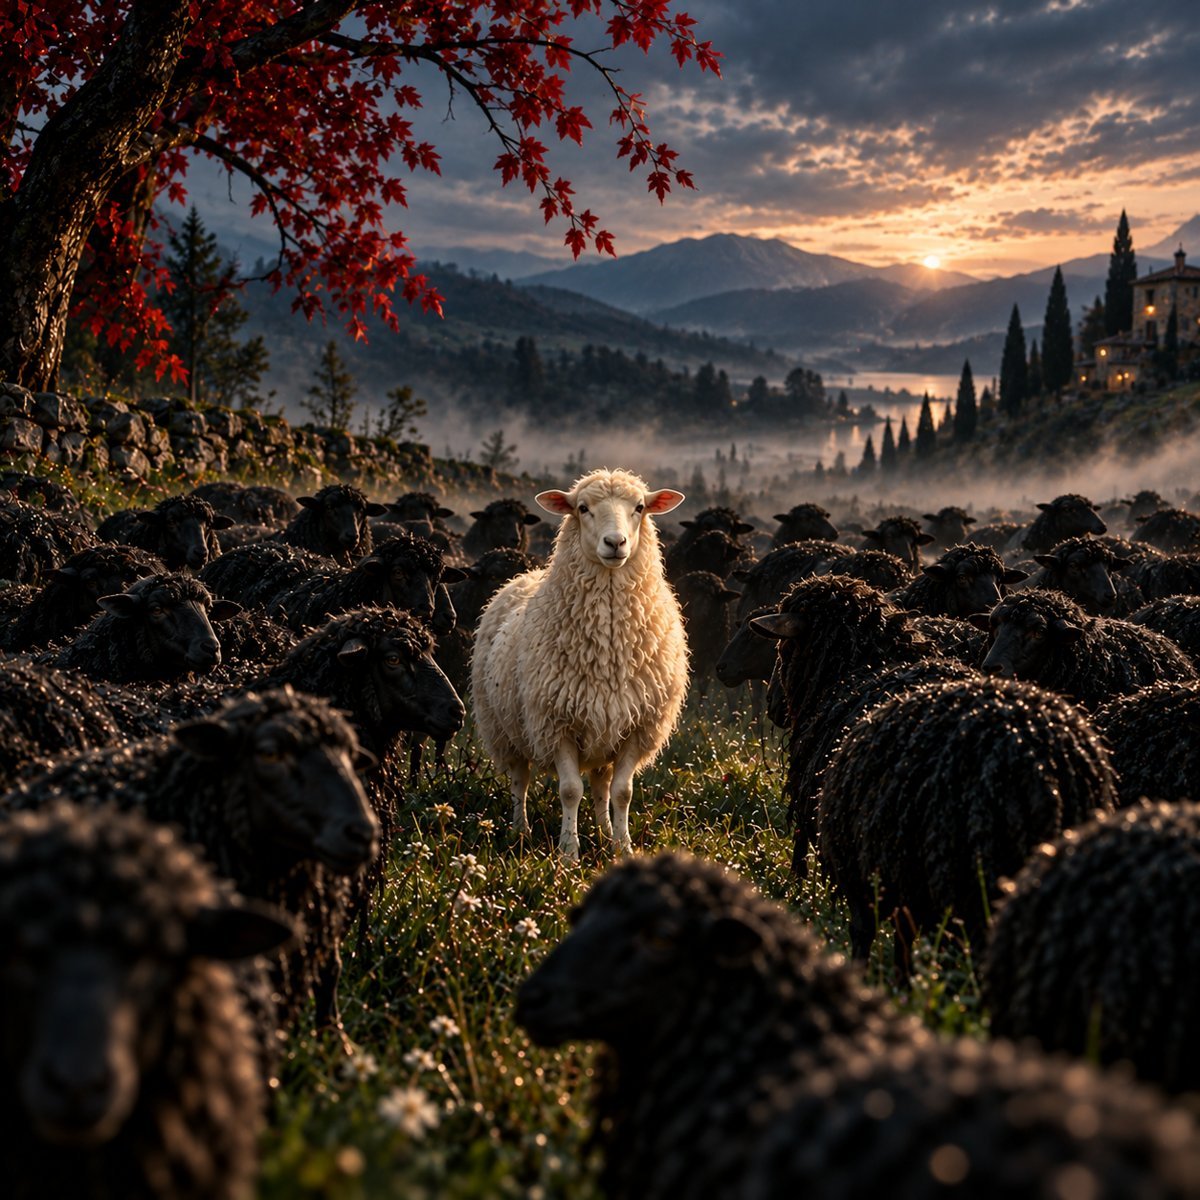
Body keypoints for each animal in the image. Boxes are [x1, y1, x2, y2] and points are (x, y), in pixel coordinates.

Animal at [472, 470, 688, 859]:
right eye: (583, 508)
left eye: (640, 507)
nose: (615, 543)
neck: (609, 646)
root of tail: (524, 577)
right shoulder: (555, 723)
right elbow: (570, 790)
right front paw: (568, 853)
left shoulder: (638, 727)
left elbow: (623, 792)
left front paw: (623, 849)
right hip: (504, 730)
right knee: (519, 781)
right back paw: (520, 831)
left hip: (604, 735)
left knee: (602, 786)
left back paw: (604, 832)